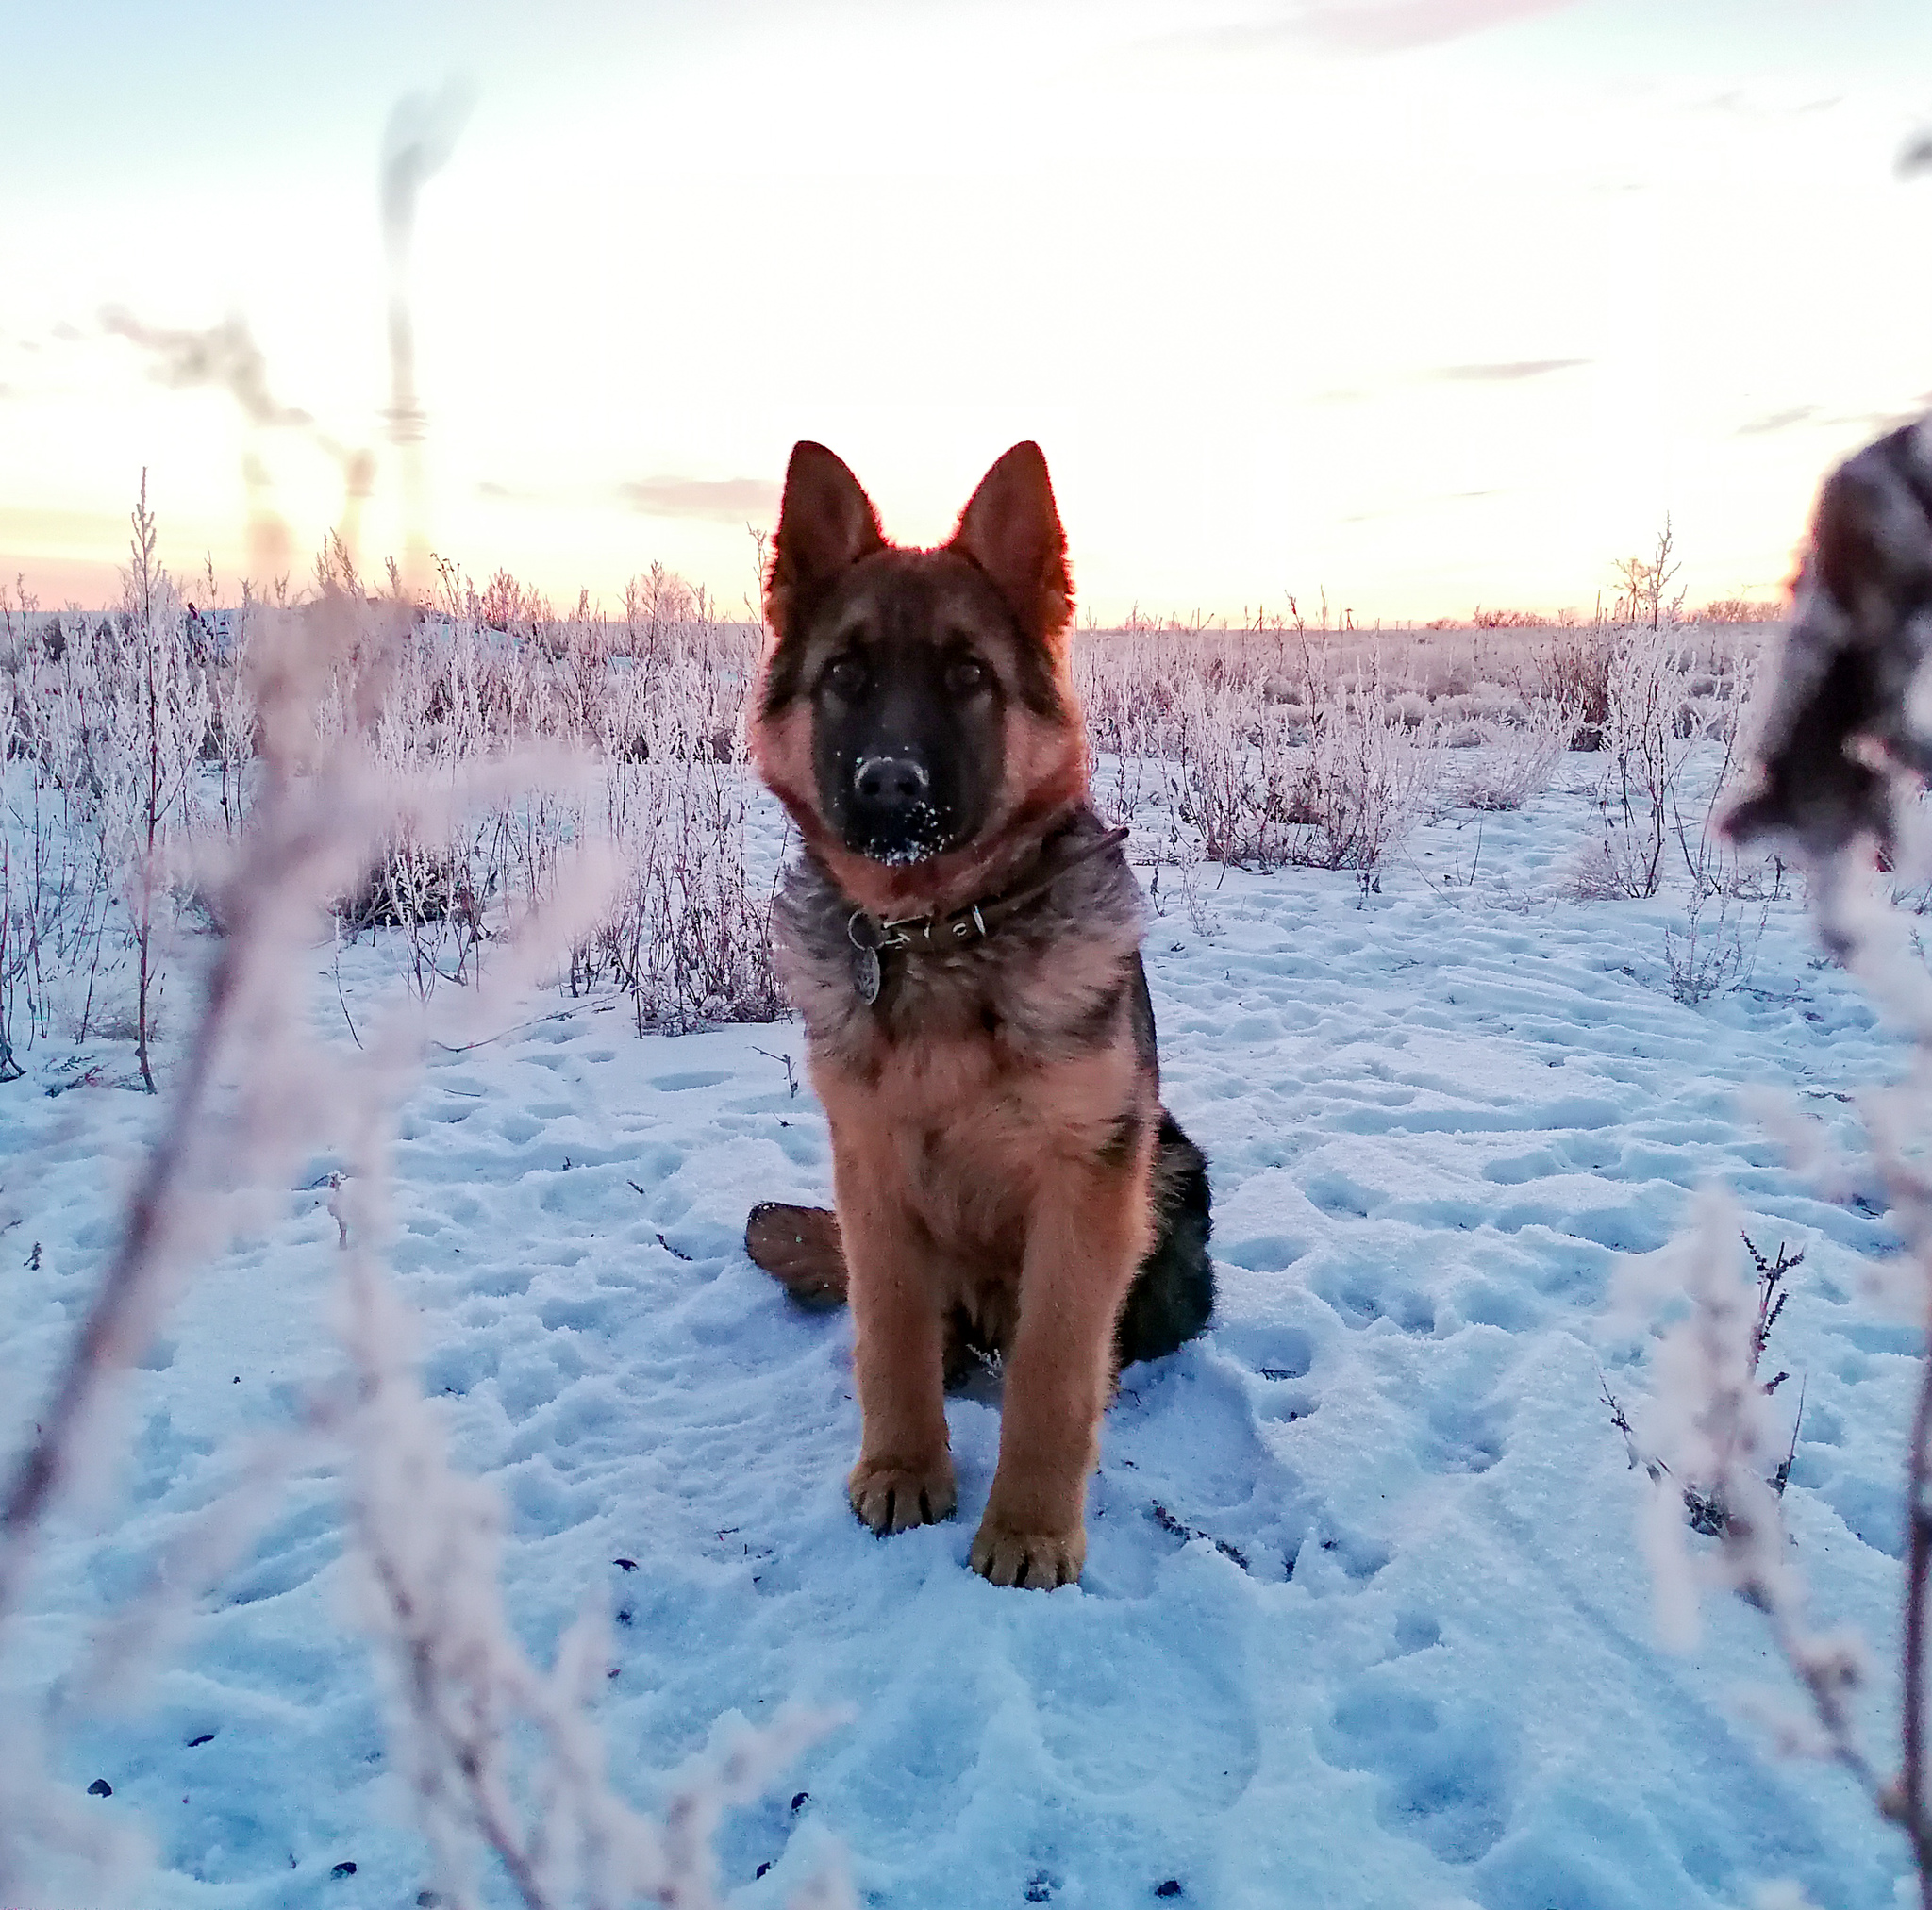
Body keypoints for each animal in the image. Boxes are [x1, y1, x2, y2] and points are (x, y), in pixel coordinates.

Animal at [738, 443, 1205, 1583]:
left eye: (967, 676)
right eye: (845, 675)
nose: (889, 788)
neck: (937, 932)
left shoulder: (1086, 1182)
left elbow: (1053, 1367)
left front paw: (1028, 1527)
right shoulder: (870, 1173)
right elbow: (891, 1337)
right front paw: (905, 1467)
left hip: (1168, 1171)